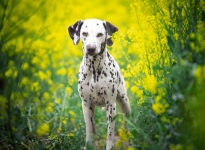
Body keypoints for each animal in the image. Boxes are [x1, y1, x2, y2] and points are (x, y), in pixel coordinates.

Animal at [68, 18, 131, 150]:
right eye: (84, 33)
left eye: (100, 34)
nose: (91, 48)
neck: (94, 69)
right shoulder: (86, 105)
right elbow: (89, 130)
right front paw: (89, 145)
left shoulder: (111, 106)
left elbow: (110, 133)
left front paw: (109, 146)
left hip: (125, 104)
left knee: (126, 124)